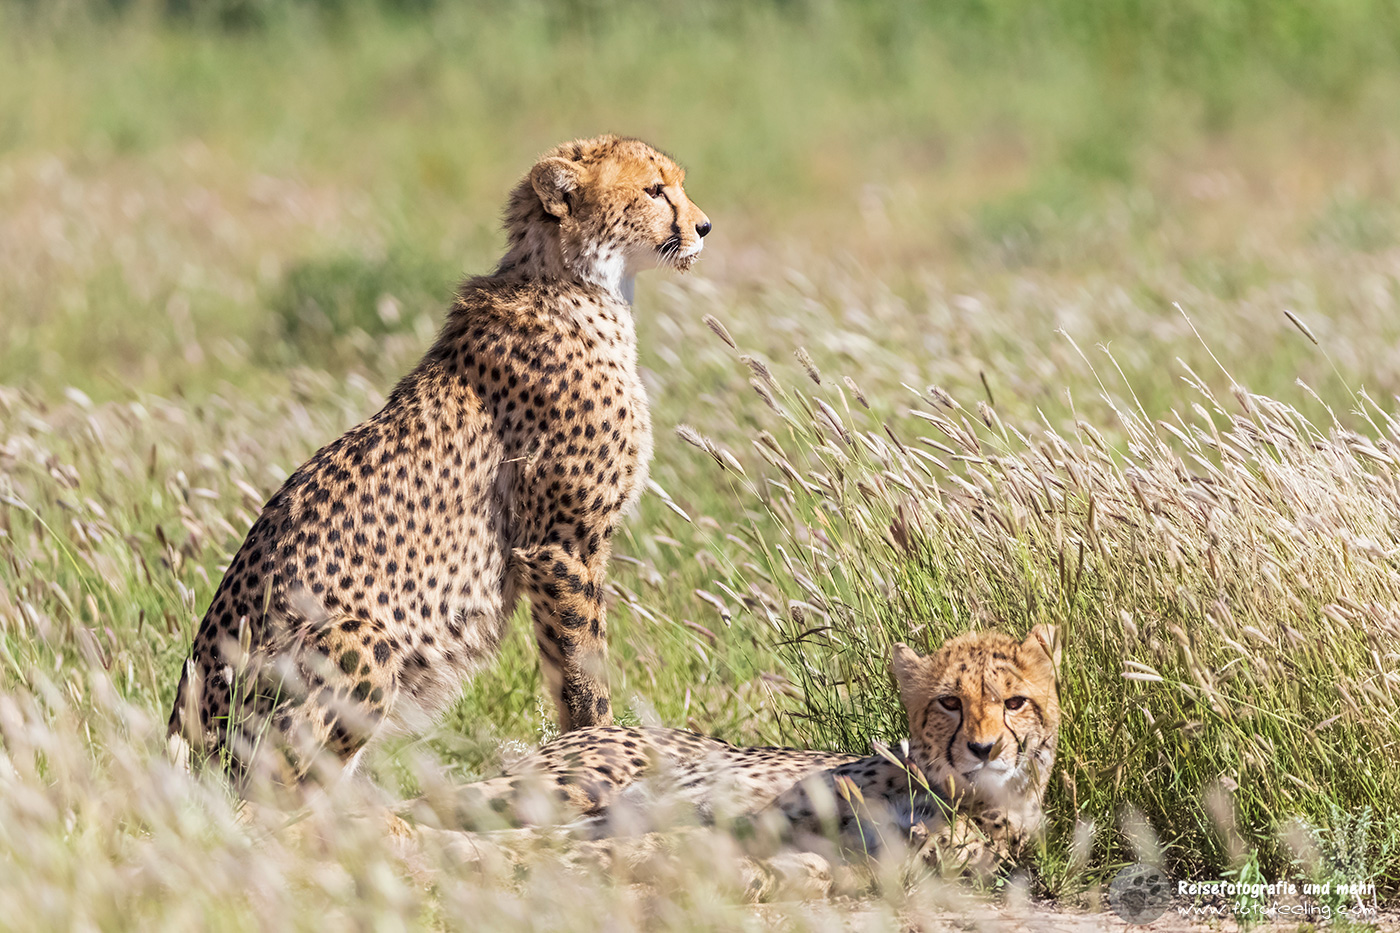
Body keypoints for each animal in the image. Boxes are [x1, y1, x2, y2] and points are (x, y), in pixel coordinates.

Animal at [167, 135, 712, 789]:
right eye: (654, 190)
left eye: (678, 184)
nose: (704, 225)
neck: (577, 282)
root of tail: (187, 725)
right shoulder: (560, 544)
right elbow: (584, 668)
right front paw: (601, 745)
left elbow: (565, 665)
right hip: (358, 638)